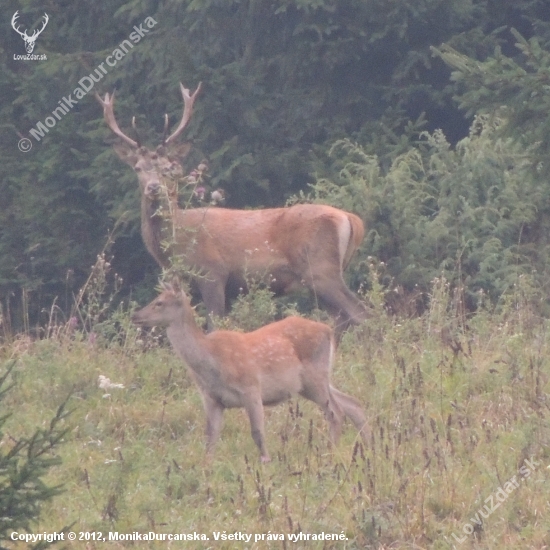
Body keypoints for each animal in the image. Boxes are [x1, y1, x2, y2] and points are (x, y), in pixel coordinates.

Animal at [132, 282, 368, 464]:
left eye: (159, 302)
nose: (135, 315)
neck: (210, 362)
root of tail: (328, 330)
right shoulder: (212, 398)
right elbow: (211, 436)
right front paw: (206, 467)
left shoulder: (251, 387)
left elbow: (257, 433)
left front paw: (266, 462)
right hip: (312, 382)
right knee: (352, 404)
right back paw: (366, 446)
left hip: (314, 376)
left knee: (336, 411)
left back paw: (330, 453)